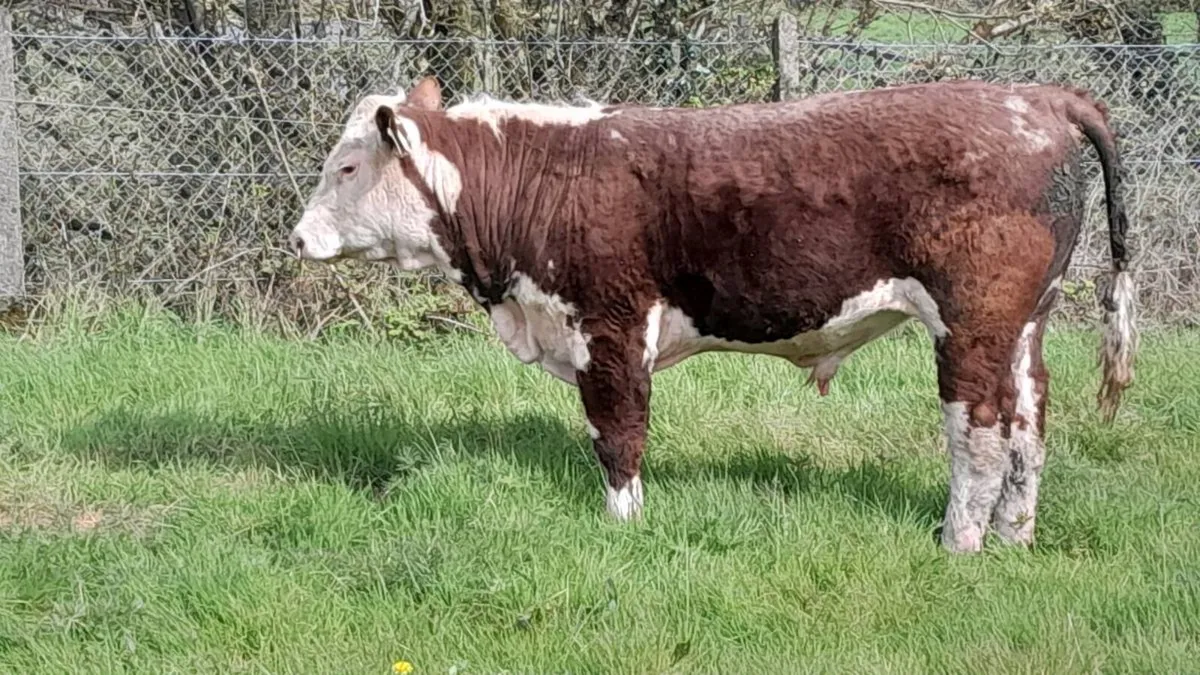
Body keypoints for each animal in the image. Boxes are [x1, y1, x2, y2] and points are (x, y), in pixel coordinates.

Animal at [288, 76, 1137, 553]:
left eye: (348, 166)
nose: (297, 235)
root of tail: (1038, 97)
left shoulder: (609, 324)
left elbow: (617, 433)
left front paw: (623, 525)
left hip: (972, 323)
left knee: (980, 433)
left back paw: (959, 542)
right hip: (1024, 325)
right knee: (1029, 427)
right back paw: (1014, 537)